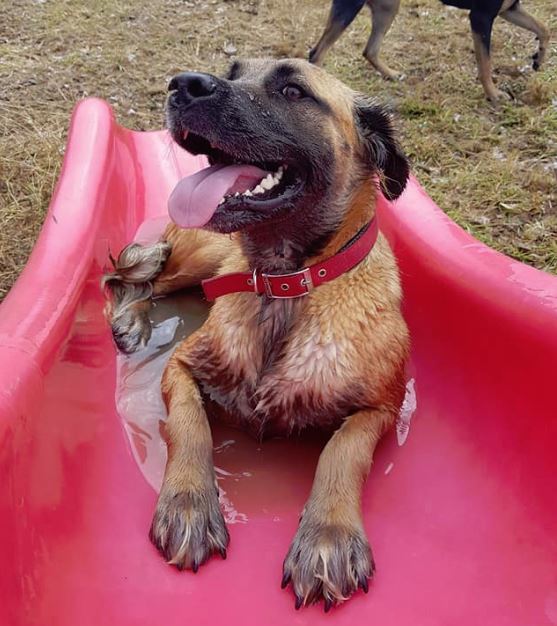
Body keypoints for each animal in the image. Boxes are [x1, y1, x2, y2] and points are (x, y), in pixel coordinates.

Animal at [103, 58, 408, 608]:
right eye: (232, 70)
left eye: (293, 90)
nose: (183, 85)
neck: (284, 286)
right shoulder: (182, 365)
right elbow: (190, 426)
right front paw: (189, 501)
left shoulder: (380, 408)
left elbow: (343, 453)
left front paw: (328, 535)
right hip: (198, 257)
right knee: (140, 278)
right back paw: (131, 319)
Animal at [310, 0, 548, 100]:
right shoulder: (481, 17)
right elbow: (485, 64)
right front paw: (493, 94)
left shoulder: (510, 9)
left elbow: (544, 29)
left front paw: (539, 58)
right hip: (352, 5)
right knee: (317, 54)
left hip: (388, 7)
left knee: (370, 50)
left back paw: (391, 74)